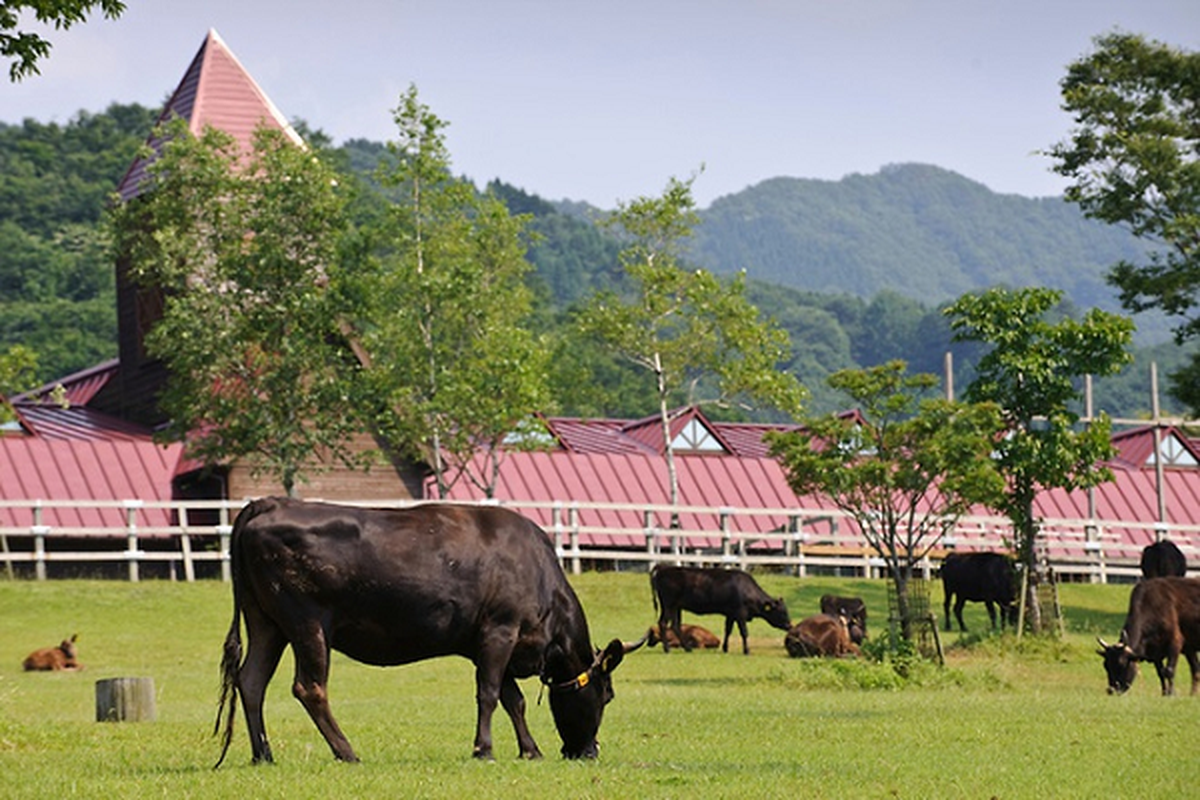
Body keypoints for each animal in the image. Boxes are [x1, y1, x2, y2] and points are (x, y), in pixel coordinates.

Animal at [216, 496, 648, 767]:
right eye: (606, 695)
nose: (588, 752)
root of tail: (271, 502)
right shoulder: (499, 630)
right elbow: (490, 694)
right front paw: (484, 749)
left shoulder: (488, 641)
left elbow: (514, 700)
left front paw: (530, 749)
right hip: (308, 623)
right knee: (309, 688)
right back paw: (347, 751)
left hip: (267, 623)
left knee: (251, 681)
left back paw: (263, 754)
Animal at [652, 566, 792, 652]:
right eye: (782, 612)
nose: (789, 625)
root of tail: (663, 569)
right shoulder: (740, 614)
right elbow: (744, 632)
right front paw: (746, 650)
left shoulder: (731, 614)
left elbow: (728, 630)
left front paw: (725, 648)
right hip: (668, 605)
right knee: (663, 623)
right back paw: (667, 649)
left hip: (676, 607)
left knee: (675, 625)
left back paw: (687, 648)